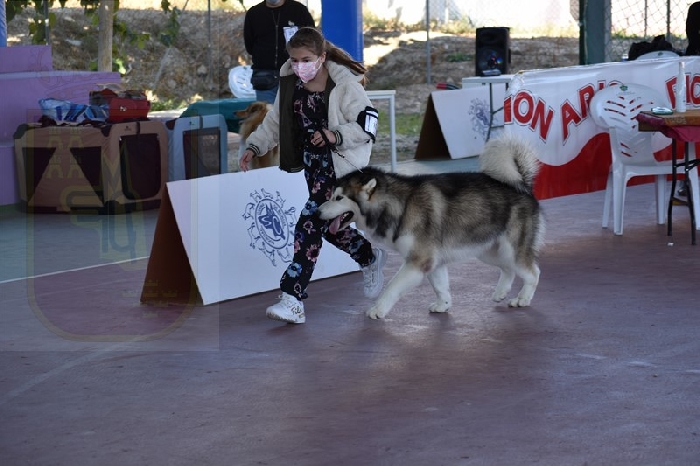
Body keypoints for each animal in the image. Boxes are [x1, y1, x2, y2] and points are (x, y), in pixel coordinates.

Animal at [318, 134, 545, 320]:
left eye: (339, 198)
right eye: (332, 195)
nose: (317, 212)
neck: (401, 204)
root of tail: (523, 185)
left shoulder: (419, 260)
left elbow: (392, 286)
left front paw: (378, 309)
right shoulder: (434, 260)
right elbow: (440, 285)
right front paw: (443, 304)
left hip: (511, 249)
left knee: (533, 272)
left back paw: (523, 298)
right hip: (488, 250)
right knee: (508, 268)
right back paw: (501, 292)